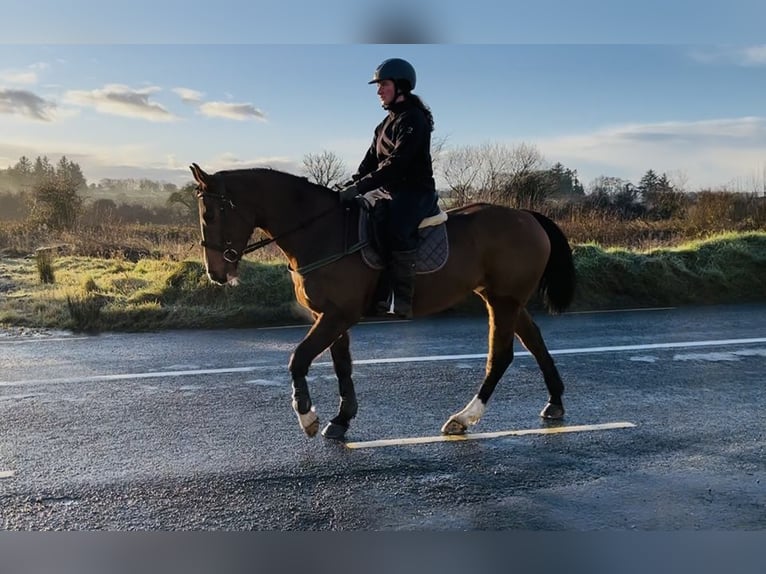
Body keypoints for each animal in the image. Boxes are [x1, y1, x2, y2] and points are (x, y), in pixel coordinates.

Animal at [190, 163, 576, 441]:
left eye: (212, 214)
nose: (216, 272)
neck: (322, 230)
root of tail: (526, 216)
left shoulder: (337, 315)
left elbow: (298, 358)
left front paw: (307, 416)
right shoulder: (330, 316)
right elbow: (342, 365)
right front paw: (341, 419)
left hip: (503, 301)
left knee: (501, 356)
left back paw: (464, 417)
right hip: (504, 298)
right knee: (535, 341)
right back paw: (555, 402)